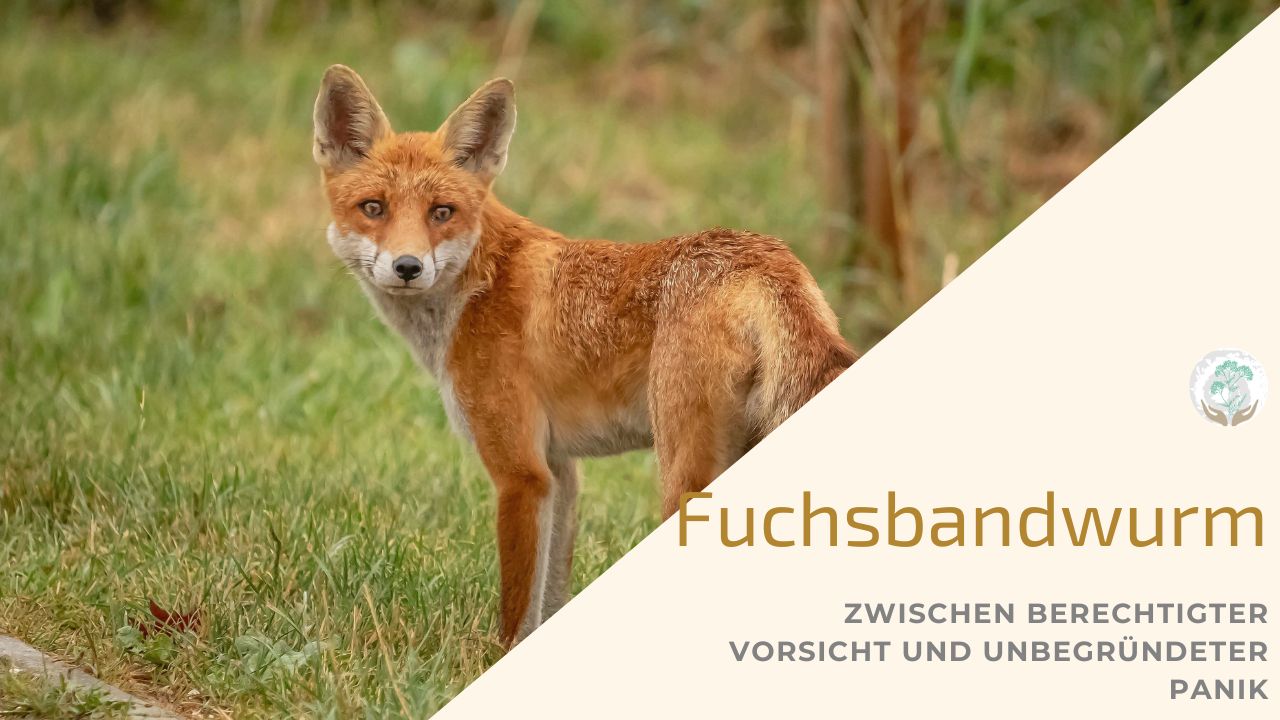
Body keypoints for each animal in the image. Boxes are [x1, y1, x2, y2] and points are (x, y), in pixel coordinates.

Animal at [313, 65, 857, 647]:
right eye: (374, 208)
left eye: (442, 213)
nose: (408, 267)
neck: (478, 286)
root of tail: (766, 259)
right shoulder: (560, 471)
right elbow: (550, 598)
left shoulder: (521, 473)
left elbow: (516, 610)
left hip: (682, 475)